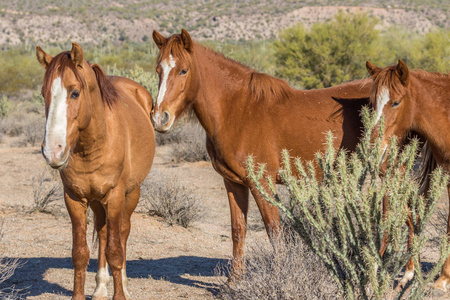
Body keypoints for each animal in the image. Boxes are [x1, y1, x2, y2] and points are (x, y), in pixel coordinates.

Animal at [36, 42, 155, 300]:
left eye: (74, 93)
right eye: (43, 93)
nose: (53, 151)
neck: (93, 145)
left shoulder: (116, 196)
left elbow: (116, 251)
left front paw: (120, 295)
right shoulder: (74, 198)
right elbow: (80, 253)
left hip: (131, 194)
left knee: (122, 232)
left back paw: (125, 285)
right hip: (97, 202)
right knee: (103, 232)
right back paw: (100, 287)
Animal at [151, 28, 372, 274]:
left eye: (183, 70)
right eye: (158, 70)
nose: (159, 118)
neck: (238, 111)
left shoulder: (262, 183)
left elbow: (274, 233)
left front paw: (282, 275)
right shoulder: (233, 183)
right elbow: (238, 230)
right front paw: (234, 279)